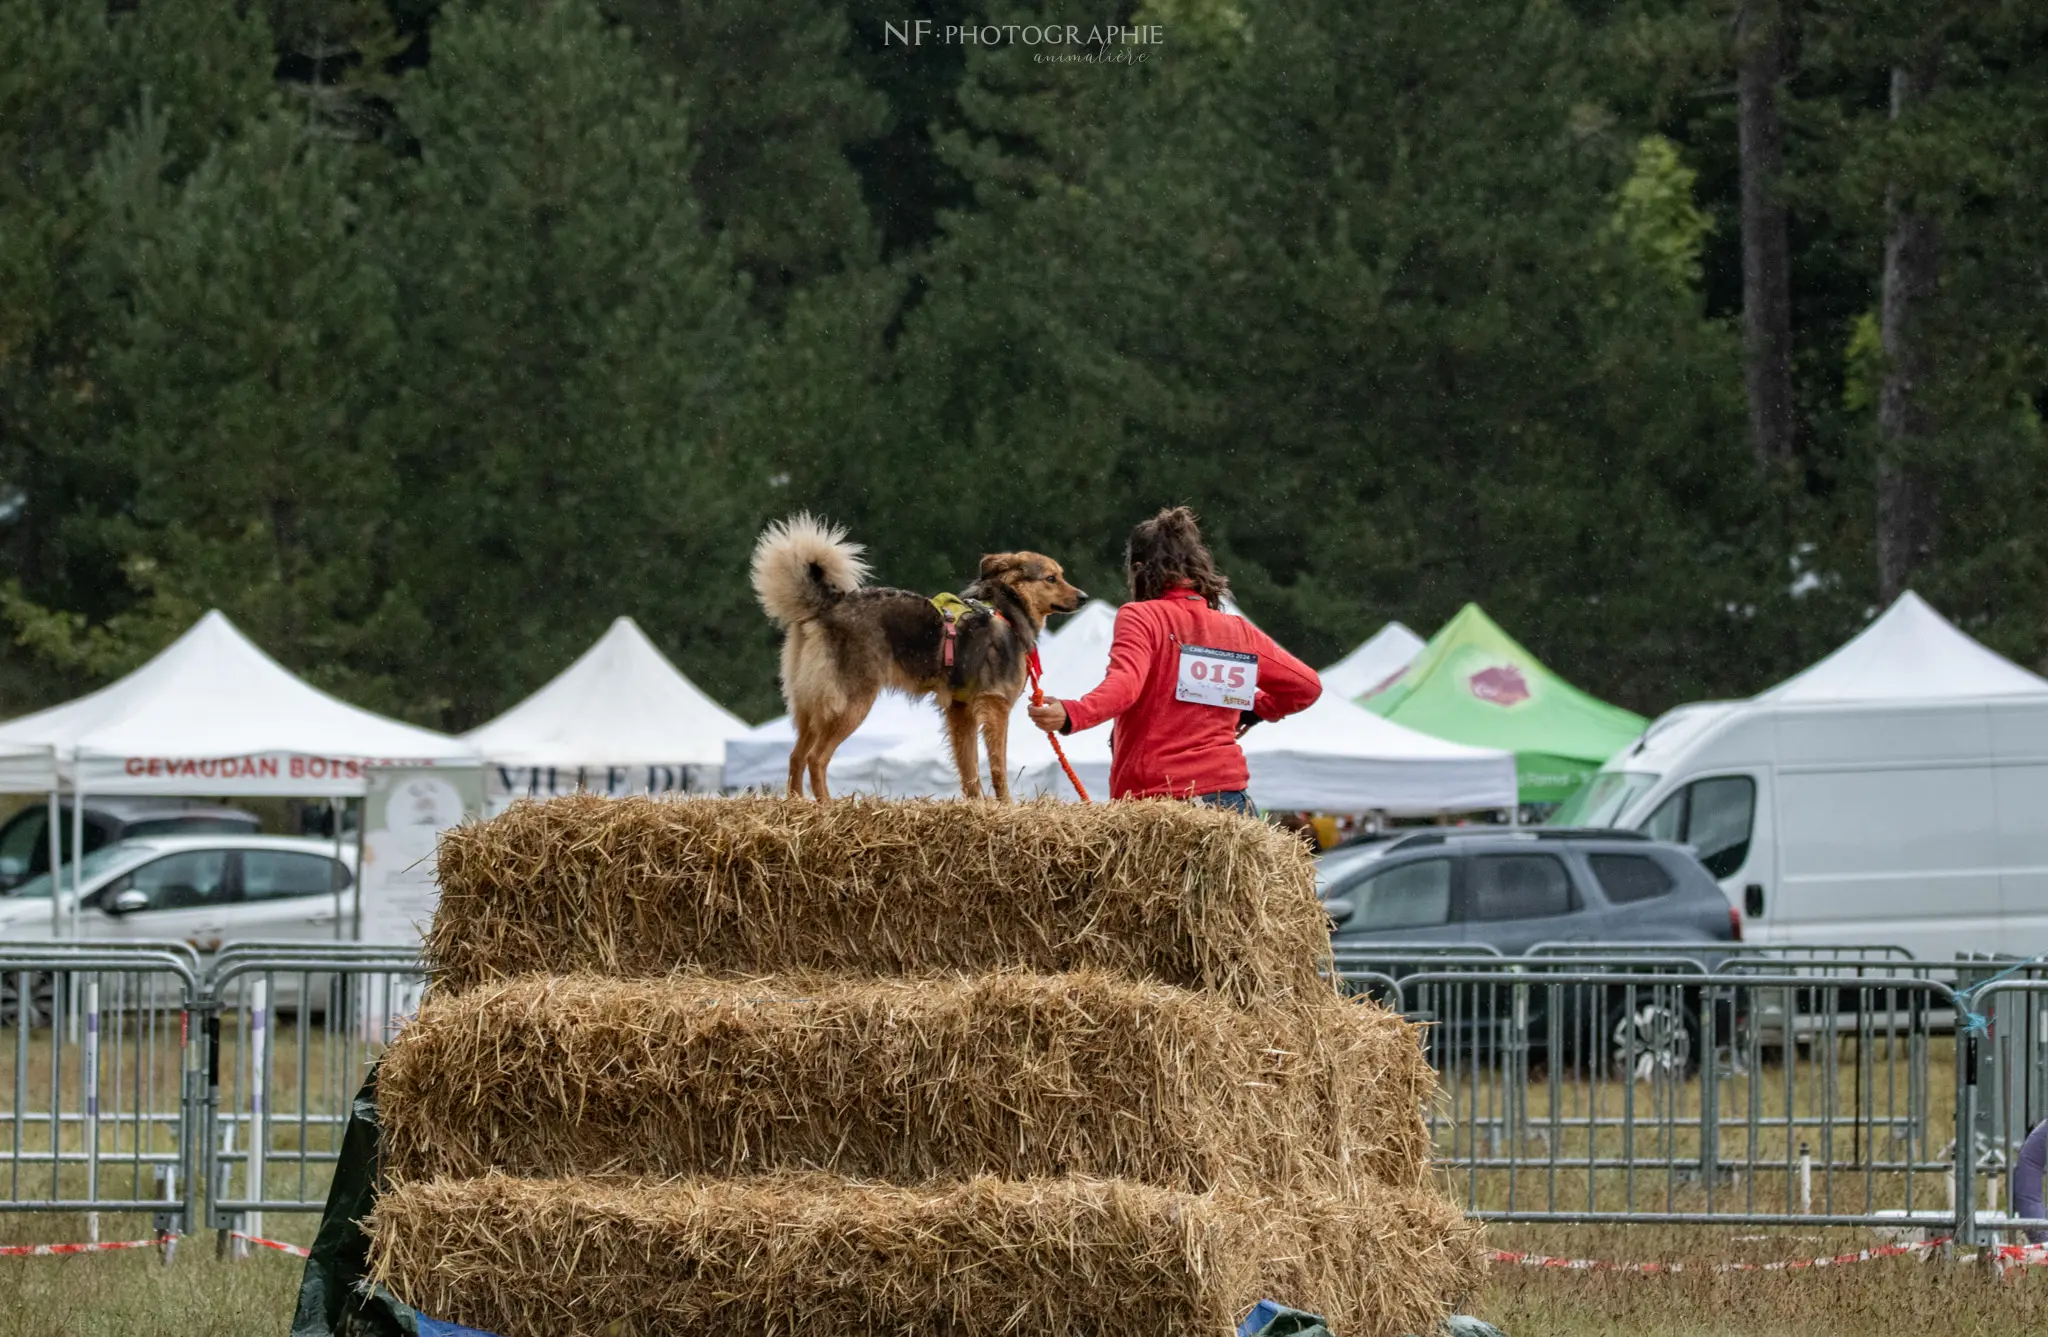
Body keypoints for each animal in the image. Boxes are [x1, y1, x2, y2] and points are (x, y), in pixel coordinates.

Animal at [753, 515, 1089, 798]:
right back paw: (827, 806)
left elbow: (969, 771)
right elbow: (997, 770)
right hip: (851, 703)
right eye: (1051, 578)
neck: (1005, 609)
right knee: (816, 758)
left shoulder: (960, 711)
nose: (1085, 597)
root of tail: (828, 605)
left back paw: (797, 804)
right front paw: (1004, 806)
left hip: (811, 705)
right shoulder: (995, 708)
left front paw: (978, 807)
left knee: (795, 756)